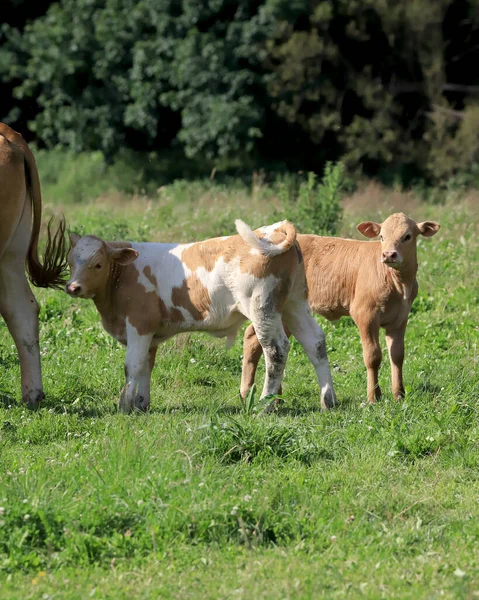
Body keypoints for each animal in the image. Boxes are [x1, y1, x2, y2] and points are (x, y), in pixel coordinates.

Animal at [64, 220, 338, 412]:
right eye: (70, 262)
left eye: (98, 264)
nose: (73, 287)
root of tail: (274, 229)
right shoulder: (150, 332)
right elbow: (146, 366)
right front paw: (142, 404)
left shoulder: (138, 326)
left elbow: (131, 365)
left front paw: (124, 405)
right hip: (294, 303)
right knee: (315, 343)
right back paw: (328, 400)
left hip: (263, 308)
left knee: (276, 350)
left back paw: (265, 404)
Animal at [242, 213, 440, 406]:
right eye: (382, 236)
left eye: (407, 236)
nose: (389, 255)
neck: (398, 284)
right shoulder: (365, 315)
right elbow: (372, 356)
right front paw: (373, 397)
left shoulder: (400, 319)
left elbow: (397, 355)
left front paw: (399, 395)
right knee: (253, 337)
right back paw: (250, 392)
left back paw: (273, 396)